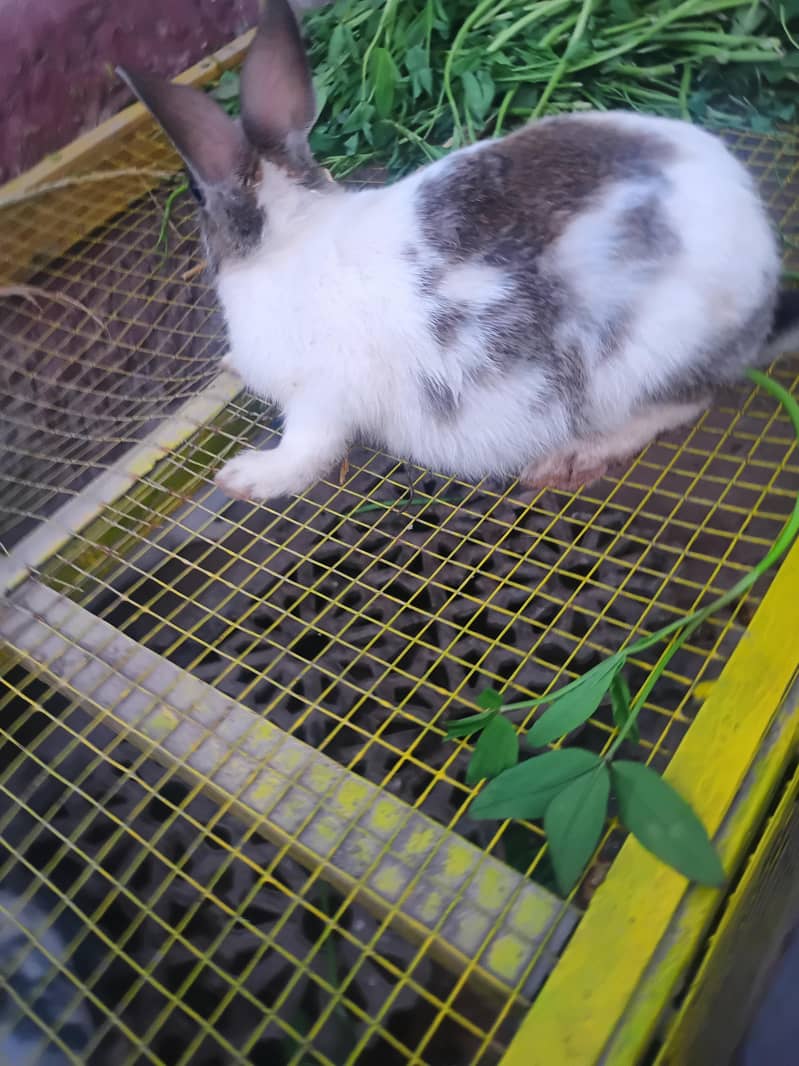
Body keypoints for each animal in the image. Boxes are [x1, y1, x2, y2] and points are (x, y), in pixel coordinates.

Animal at [118, 0, 798, 503]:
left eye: (195, 198)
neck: (292, 230)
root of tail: (764, 294)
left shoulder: (318, 400)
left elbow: (305, 453)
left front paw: (244, 478)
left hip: (643, 362)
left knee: (684, 402)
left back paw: (570, 458)